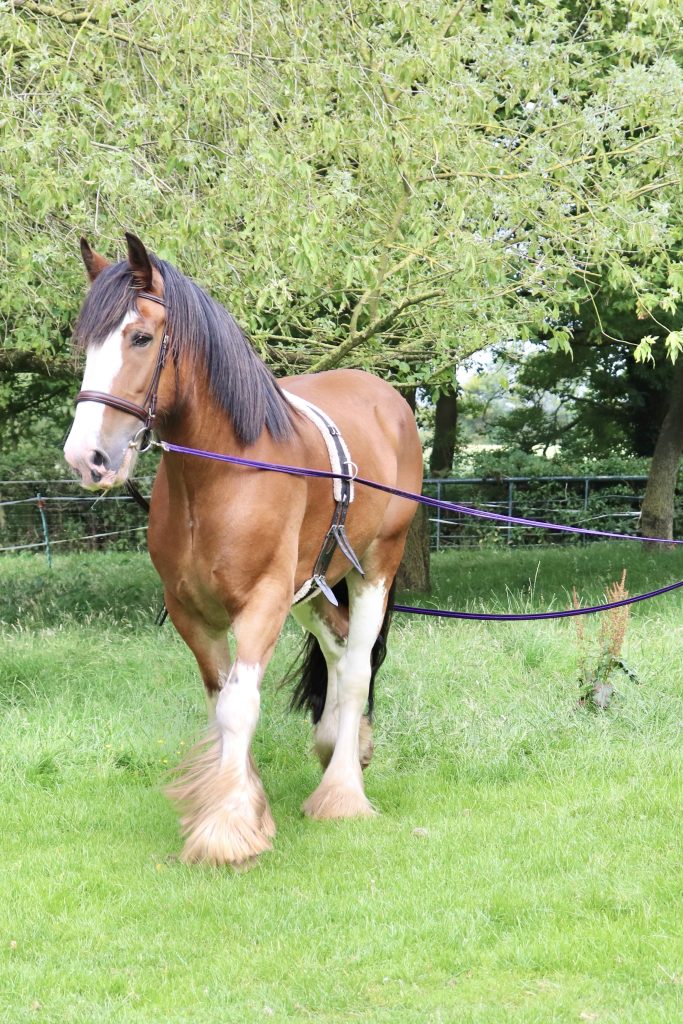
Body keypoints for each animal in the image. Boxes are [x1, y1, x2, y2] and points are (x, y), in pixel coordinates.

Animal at [64, 233, 423, 867]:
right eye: (86, 343)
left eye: (140, 337)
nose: (88, 458)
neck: (223, 472)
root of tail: (386, 398)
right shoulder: (192, 613)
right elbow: (221, 704)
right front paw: (244, 807)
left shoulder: (261, 604)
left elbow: (239, 706)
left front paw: (227, 830)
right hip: (312, 583)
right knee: (335, 646)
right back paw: (339, 744)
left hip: (375, 566)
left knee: (356, 666)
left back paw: (341, 793)